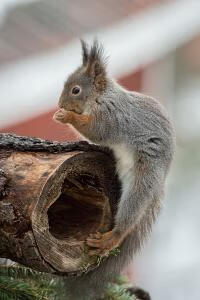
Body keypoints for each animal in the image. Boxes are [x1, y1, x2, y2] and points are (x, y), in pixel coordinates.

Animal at [52, 40, 175, 300]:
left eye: (75, 90)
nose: (60, 104)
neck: (102, 98)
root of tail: (160, 182)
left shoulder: (112, 118)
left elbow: (95, 130)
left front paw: (66, 116)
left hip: (142, 179)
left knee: (129, 218)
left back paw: (111, 238)